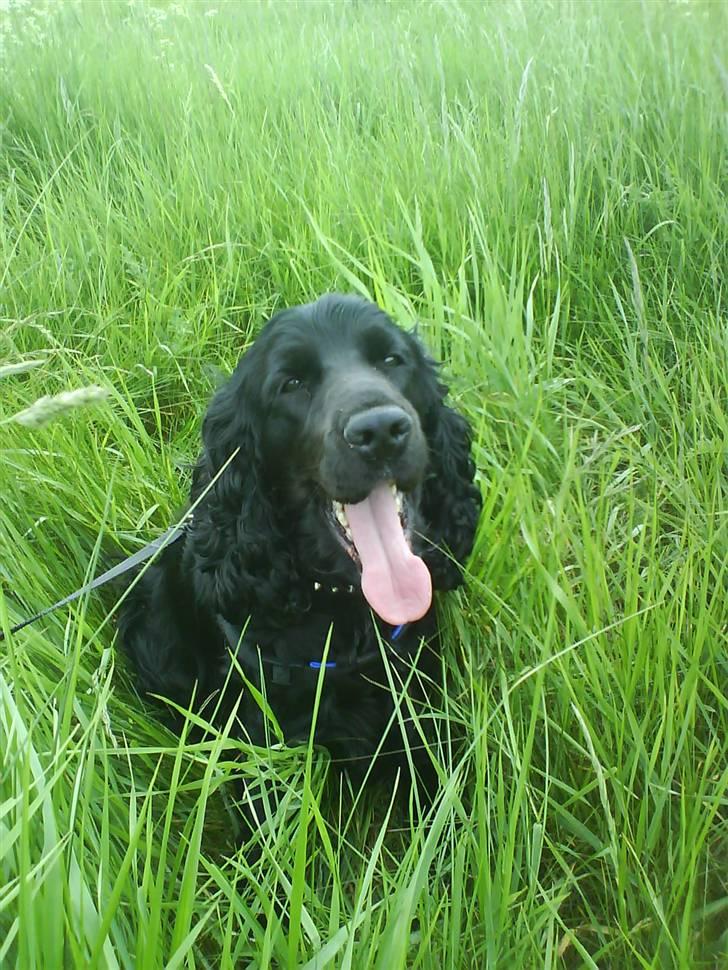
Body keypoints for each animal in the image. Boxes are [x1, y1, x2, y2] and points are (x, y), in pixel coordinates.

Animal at [119, 294, 480, 800]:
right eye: (291, 384)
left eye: (391, 360)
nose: (380, 431)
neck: (343, 604)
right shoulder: (261, 745)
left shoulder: (418, 709)